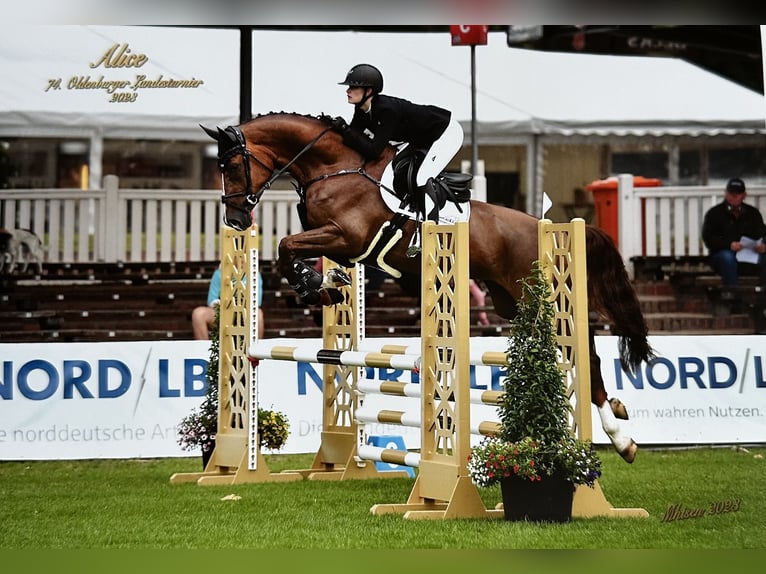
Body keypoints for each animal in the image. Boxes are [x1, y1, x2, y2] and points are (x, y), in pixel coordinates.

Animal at [204, 112, 656, 464]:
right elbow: (298, 253)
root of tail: (545, 227)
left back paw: (622, 439)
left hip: (537, 297)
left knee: (585, 355)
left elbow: (285, 246)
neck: (334, 167)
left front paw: (315, 284)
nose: (236, 221)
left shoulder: (345, 236)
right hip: (511, 303)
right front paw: (328, 284)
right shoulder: (342, 245)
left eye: (232, 167)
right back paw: (611, 419)